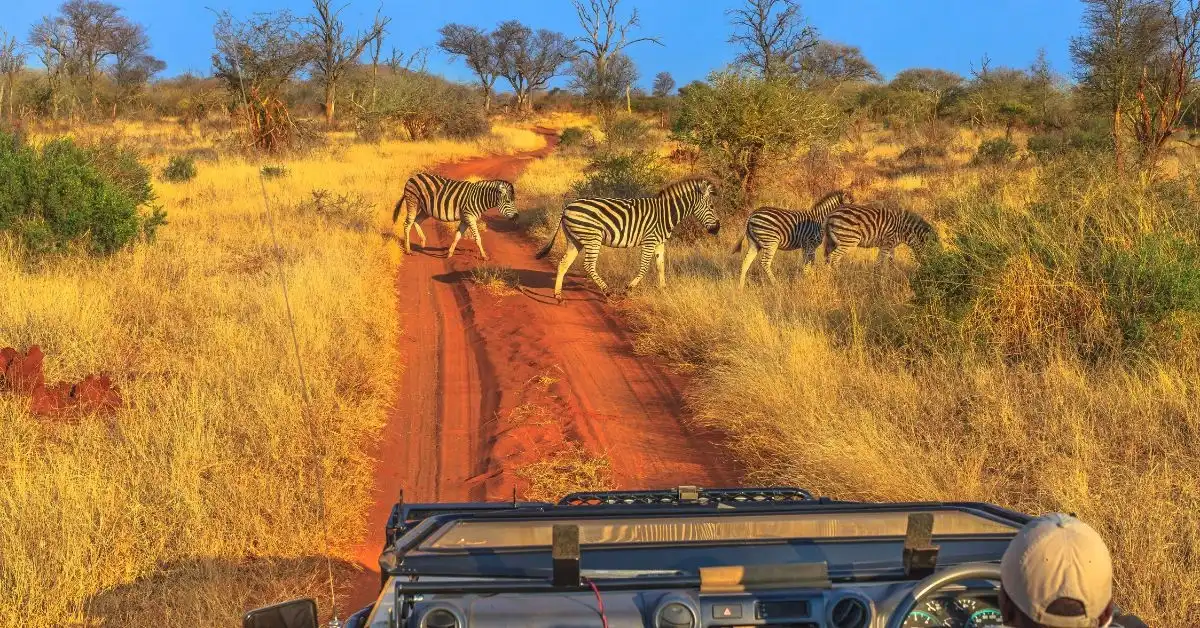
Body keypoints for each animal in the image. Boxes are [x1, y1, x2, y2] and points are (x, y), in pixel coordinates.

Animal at [534, 178, 720, 302]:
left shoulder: (660, 243)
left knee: (563, 263)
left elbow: (660, 266)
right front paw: (628, 289)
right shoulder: (649, 240)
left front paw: (663, 290)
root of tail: (567, 206)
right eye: (712, 207)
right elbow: (644, 267)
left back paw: (558, 296)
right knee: (588, 265)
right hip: (592, 238)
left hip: (575, 240)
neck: (666, 213)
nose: (717, 229)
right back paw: (607, 291)